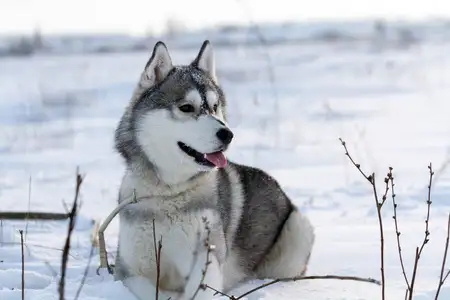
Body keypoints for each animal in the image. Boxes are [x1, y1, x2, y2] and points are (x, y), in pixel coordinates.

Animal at [114, 40, 314, 300]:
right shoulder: (129, 272)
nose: (227, 134)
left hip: (297, 233)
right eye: (186, 107)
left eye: (215, 106)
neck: (169, 193)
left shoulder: (207, 263)